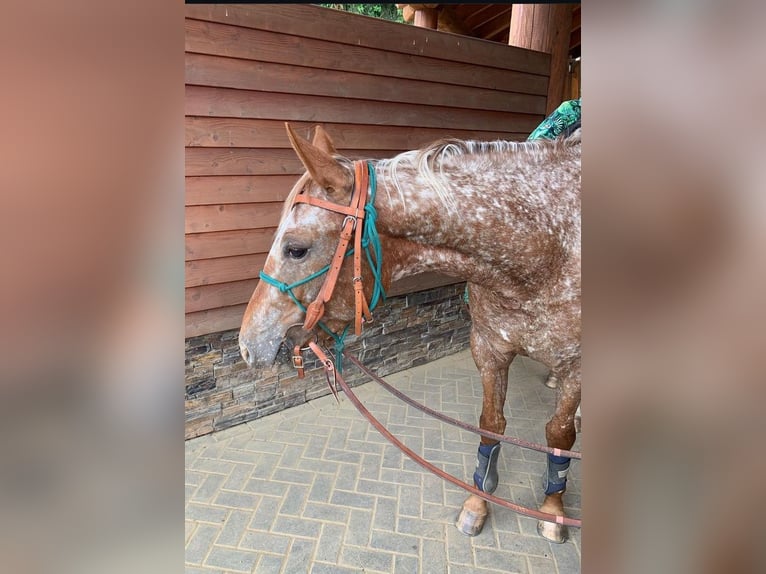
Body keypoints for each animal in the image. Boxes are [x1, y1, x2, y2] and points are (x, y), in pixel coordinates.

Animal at [240, 124, 584, 544]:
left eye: (296, 249)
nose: (247, 345)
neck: (545, 250)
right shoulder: (489, 348)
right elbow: (490, 424)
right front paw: (478, 501)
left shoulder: (575, 366)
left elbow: (559, 435)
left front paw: (552, 510)